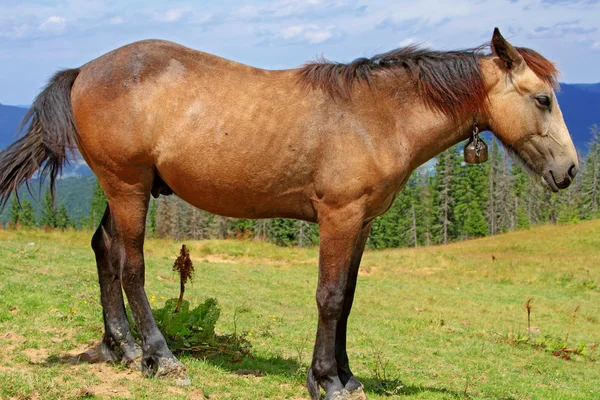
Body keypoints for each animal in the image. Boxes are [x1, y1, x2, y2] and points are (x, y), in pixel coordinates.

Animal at [0, 28, 580, 400]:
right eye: (543, 99)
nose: (570, 171)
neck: (379, 115)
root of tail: (85, 70)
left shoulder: (363, 222)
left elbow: (348, 299)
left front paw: (347, 376)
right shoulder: (339, 217)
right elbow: (330, 298)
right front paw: (326, 380)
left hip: (123, 187)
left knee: (105, 249)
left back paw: (119, 346)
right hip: (128, 186)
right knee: (131, 266)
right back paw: (160, 358)